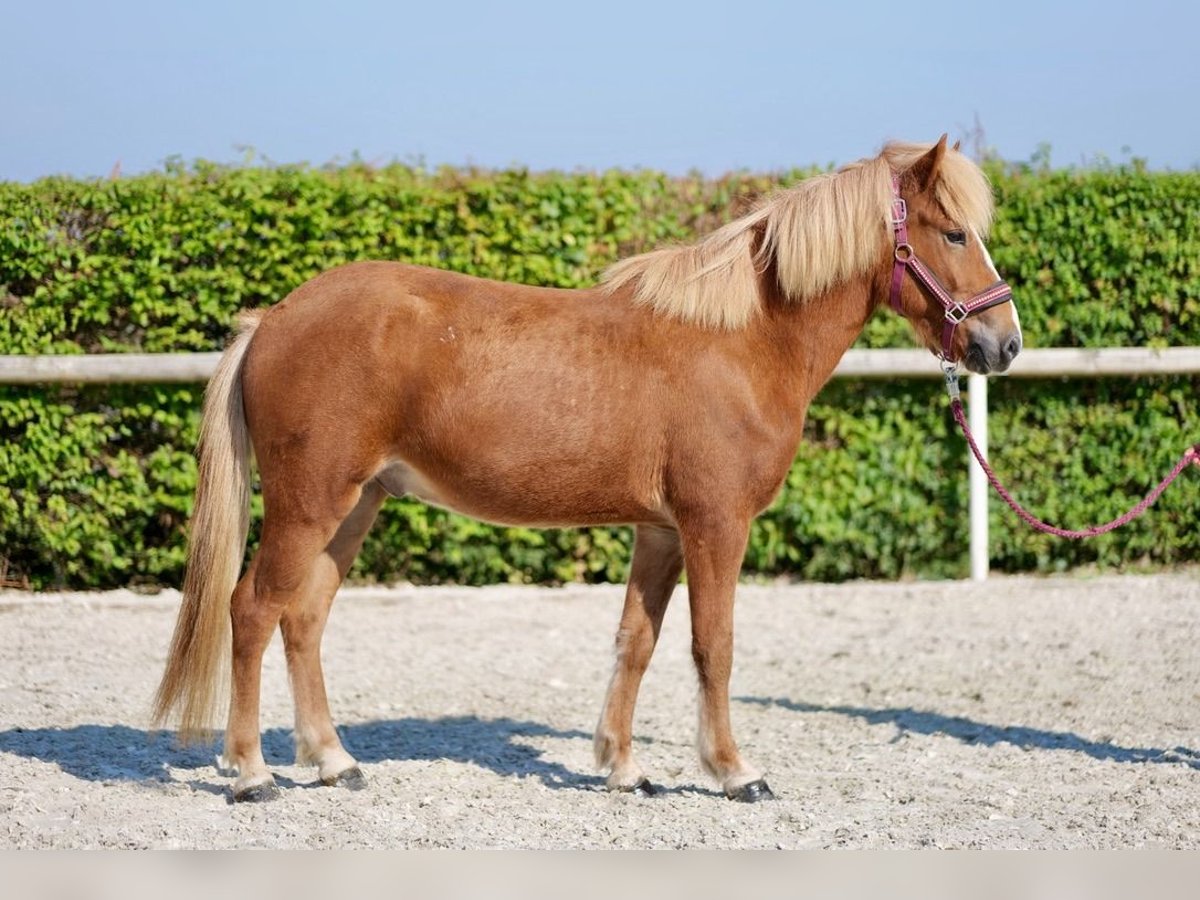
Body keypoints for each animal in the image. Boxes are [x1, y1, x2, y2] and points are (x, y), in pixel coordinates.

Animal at [152, 139, 1022, 801]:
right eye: (952, 235)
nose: (1003, 343)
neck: (742, 342)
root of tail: (274, 319)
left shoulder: (660, 531)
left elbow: (637, 640)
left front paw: (623, 768)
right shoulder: (715, 525)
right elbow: (714, 645)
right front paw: (734, 772)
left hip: (357, 503)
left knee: (303, 619)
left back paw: (334, 761)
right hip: (310, 503)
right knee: (252, 611)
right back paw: (251, 773)